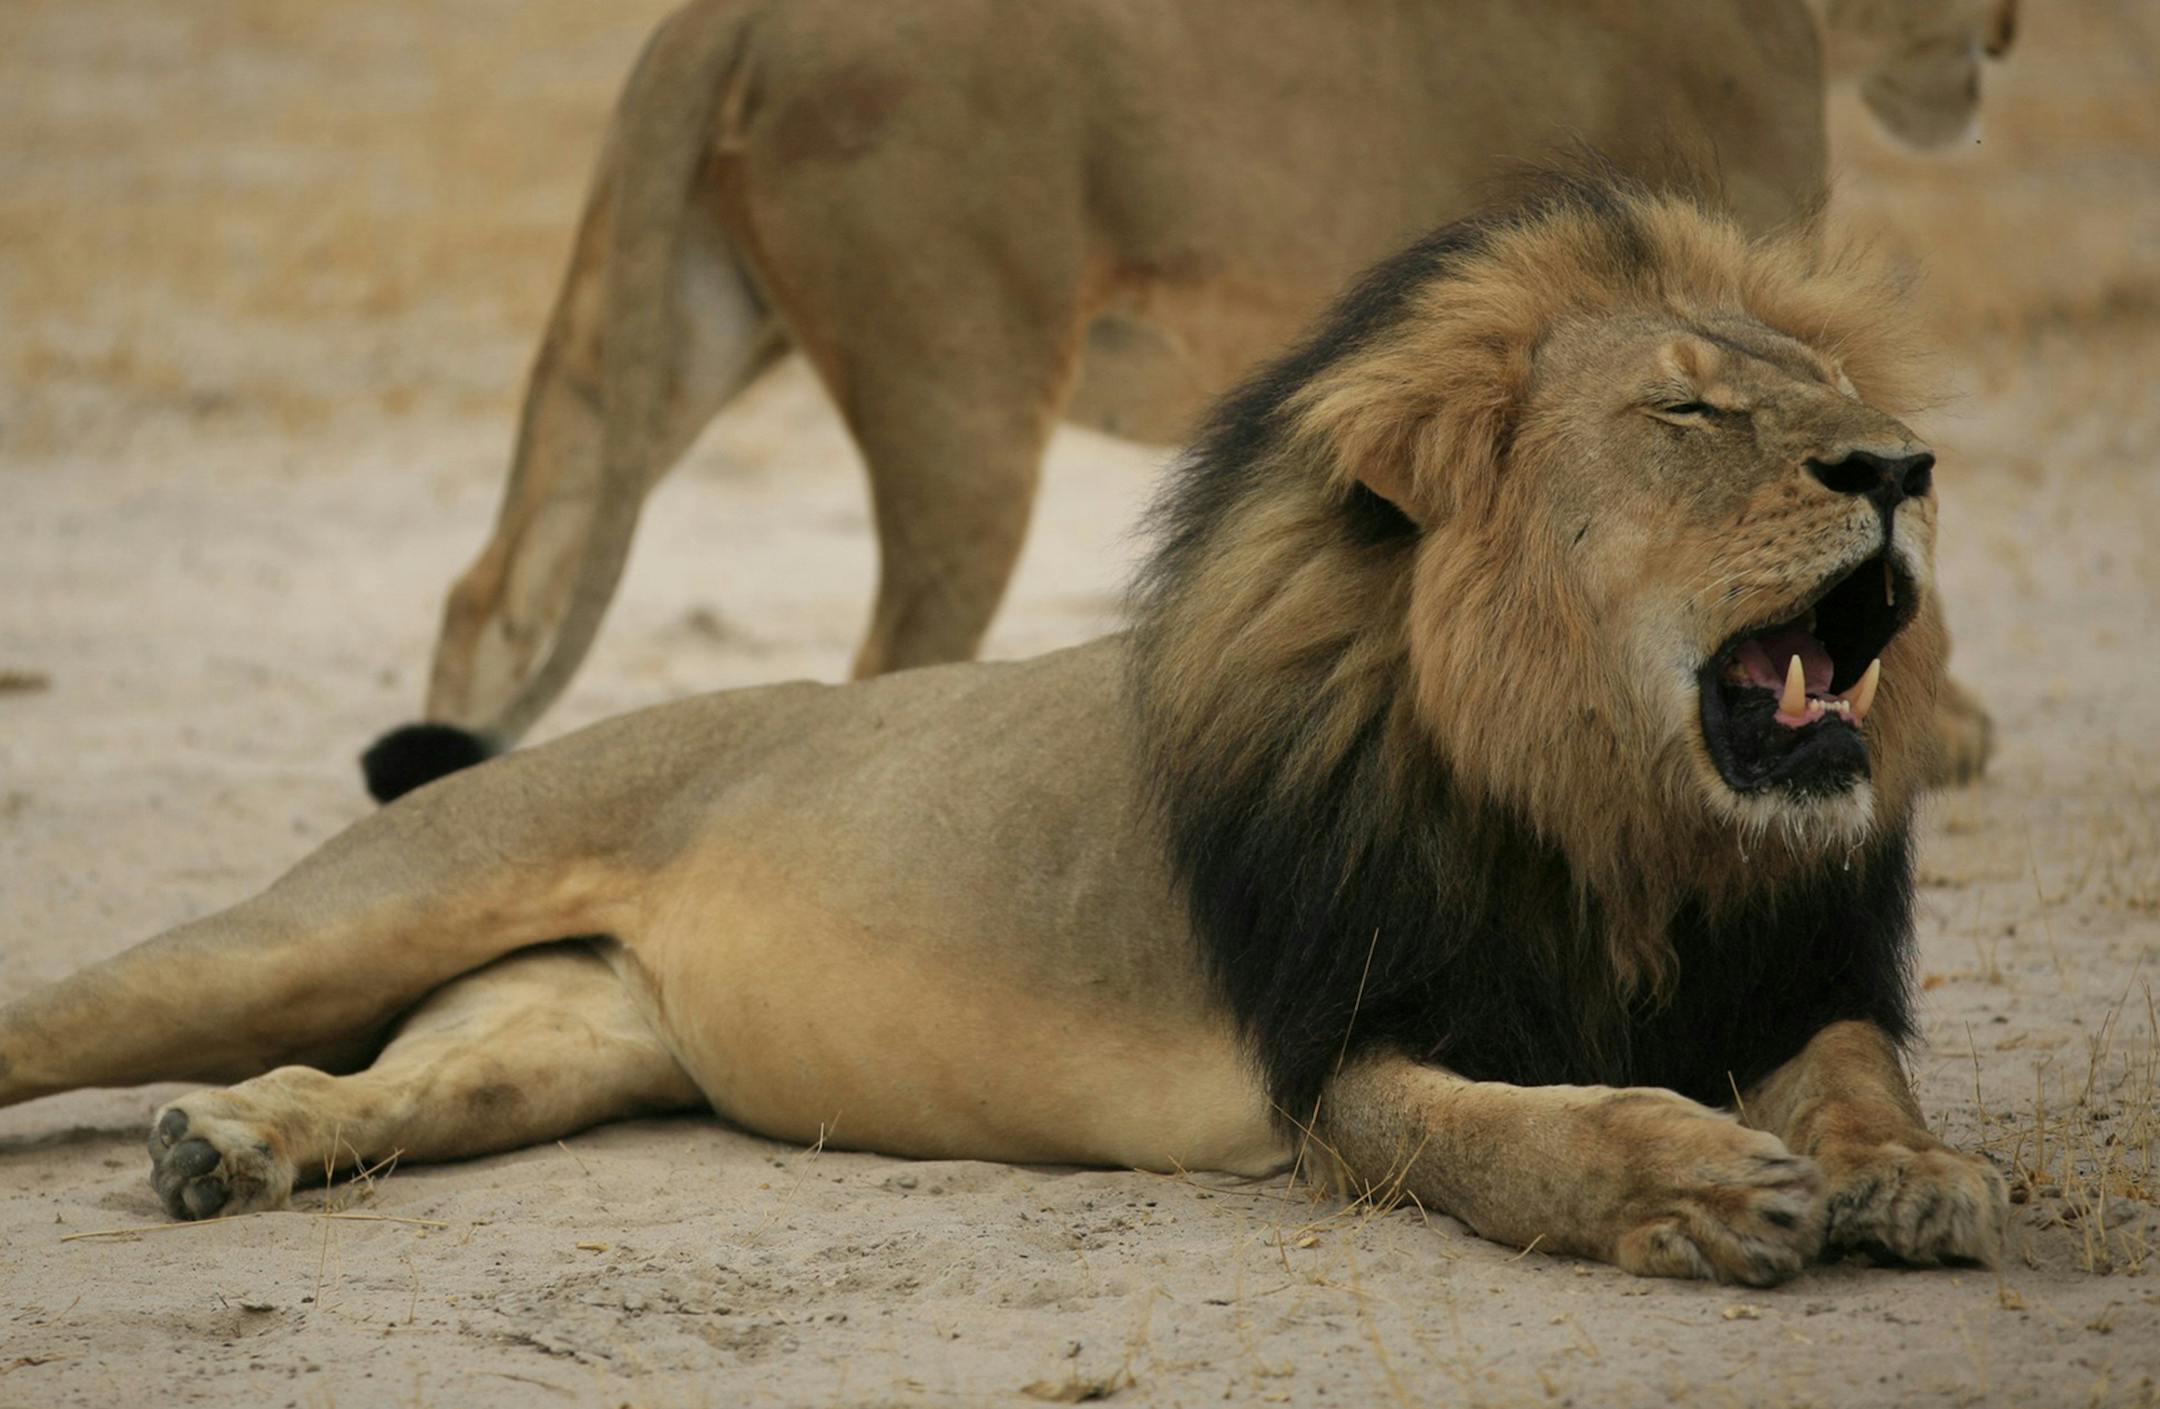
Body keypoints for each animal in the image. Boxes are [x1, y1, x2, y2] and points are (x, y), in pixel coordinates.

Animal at [3, 176, 2006, 1283]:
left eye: (1833, 394)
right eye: (1691, 411)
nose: (1905, 470)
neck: (1615, 828)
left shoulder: (1788, 973)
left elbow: (1858, 1073)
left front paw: (1907, 1177)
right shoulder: (1342, 1057)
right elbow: (1515, 1141)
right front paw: (1692, 1182)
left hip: (559, 1040)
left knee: (393, 1085)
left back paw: (228, 1147)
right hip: (332, 921)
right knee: (82, 1008)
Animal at [361, 0, 2012, 806]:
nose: (2003, 32)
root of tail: (725, 16)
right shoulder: (1740, 259)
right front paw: (1934, 734)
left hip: (660, 328)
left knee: (493, 583)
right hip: (964, 391)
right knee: (889, 661)